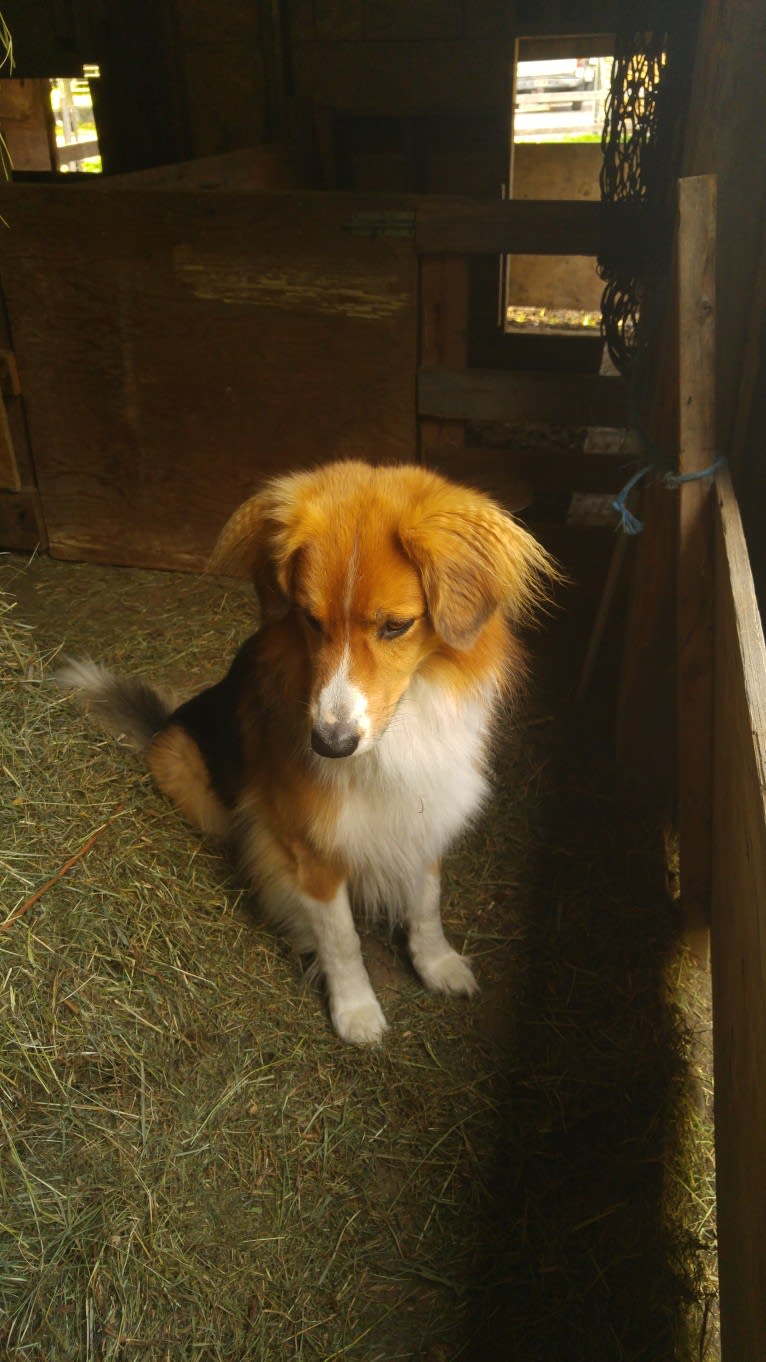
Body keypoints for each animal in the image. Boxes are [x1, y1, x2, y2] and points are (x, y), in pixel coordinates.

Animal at [59, 457, 558, 1040]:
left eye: (397, 626)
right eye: (310, 619)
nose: (329, 744)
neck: (401, 726)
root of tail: (167, 721)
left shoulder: (425, 811)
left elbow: (427, 903)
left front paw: (437, 964)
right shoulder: (311, 848)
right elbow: (341, 939)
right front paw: (356, 1010)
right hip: (188, 770)